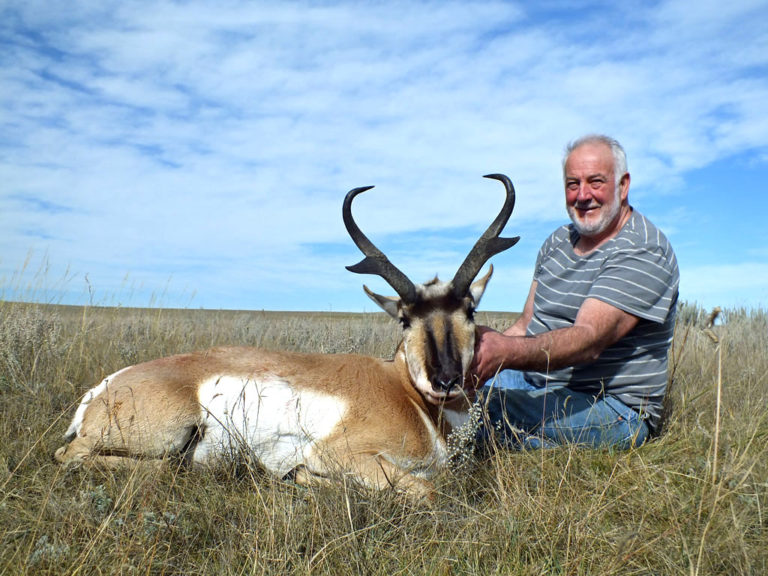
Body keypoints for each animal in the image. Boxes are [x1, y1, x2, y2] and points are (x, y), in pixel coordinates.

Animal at [54, 173, 520, 498]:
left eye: (470, 309)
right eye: (404, 319)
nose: (445, 380)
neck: (405, 393)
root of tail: (103, 389)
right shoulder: (343, 454)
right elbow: (429, 490)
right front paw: (300, 476)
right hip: (167, 435)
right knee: (75, 456)